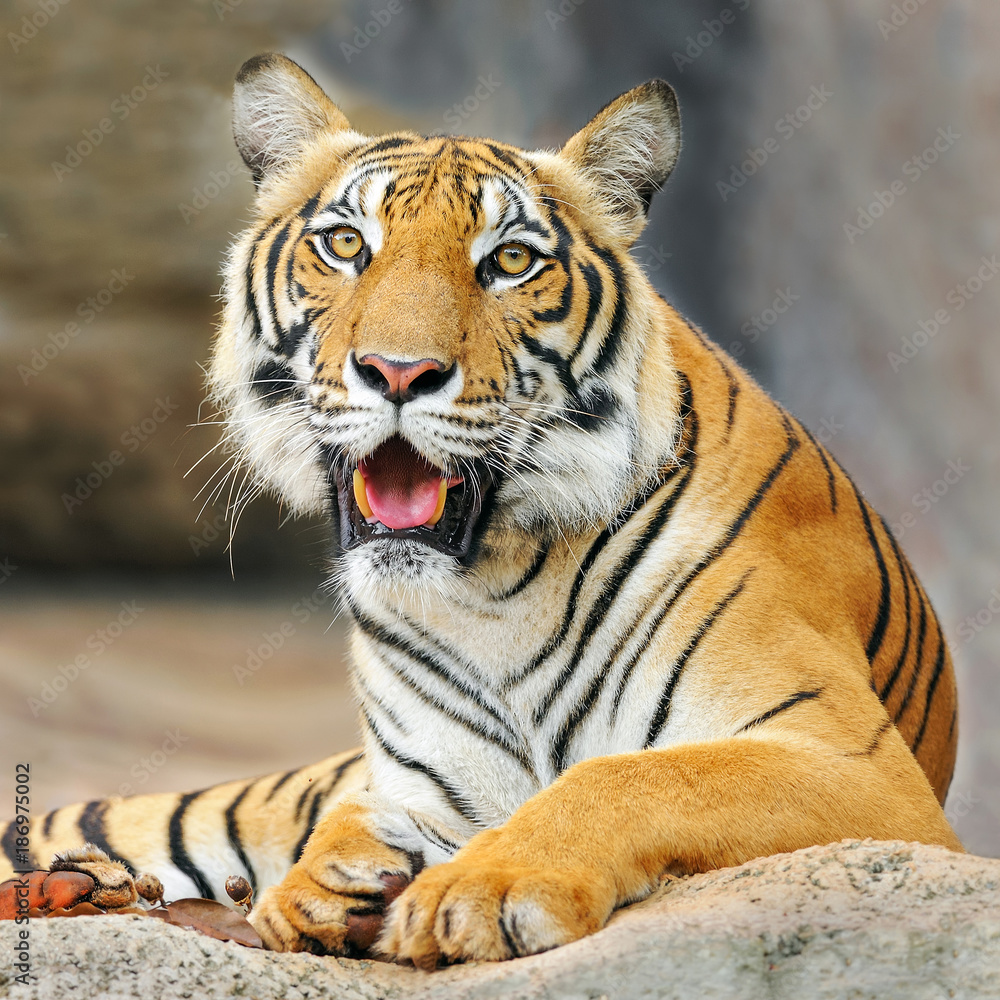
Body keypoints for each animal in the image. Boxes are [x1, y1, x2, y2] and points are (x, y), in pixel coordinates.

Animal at [2, 53, 961, 968]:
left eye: (509, 262)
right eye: (345, 245)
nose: (397, 372)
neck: (493, 592)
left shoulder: (856, 763)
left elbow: (628, 778)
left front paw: (480, 892)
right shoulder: (432, 782)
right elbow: (362, 814)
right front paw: (328, 883)